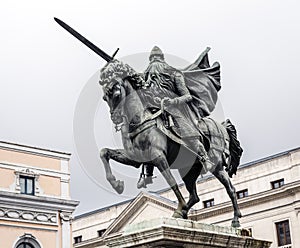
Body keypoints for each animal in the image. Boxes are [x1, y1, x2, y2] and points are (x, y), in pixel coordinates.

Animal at [98, 59, 244, 227]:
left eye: (115, 93)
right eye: (105, 97)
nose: (115, 118)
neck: (140, 120)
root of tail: (221, 126)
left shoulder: (158, 156)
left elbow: (171, 181)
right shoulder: (134, 157)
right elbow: (104, 152)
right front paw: (117, 184)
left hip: (217, 165)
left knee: (230, 188)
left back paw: (235, 219)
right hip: (188, 170)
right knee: (194, 196)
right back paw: (181, 212)